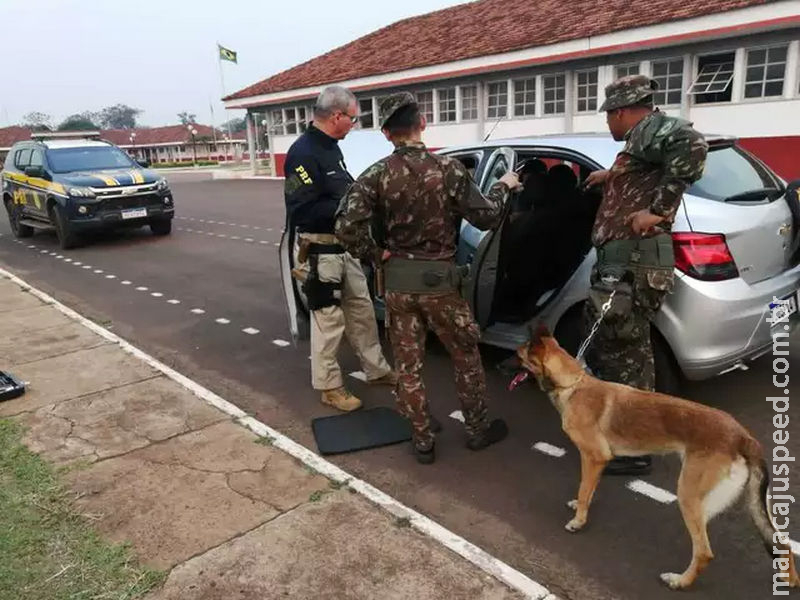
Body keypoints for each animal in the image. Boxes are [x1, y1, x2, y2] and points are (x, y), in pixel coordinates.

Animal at [512, 326, 800, 588]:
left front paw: (578, 521)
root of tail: (742, 435)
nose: (506, 362)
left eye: (518, 357)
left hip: (688, 495)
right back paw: (790, 579)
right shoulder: (596, 462)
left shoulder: (594, 457)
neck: (572, 384)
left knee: (704, 552)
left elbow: (584, 490)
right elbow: (588, 489)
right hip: (755, 503)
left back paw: (679, 581)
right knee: (782, 542)